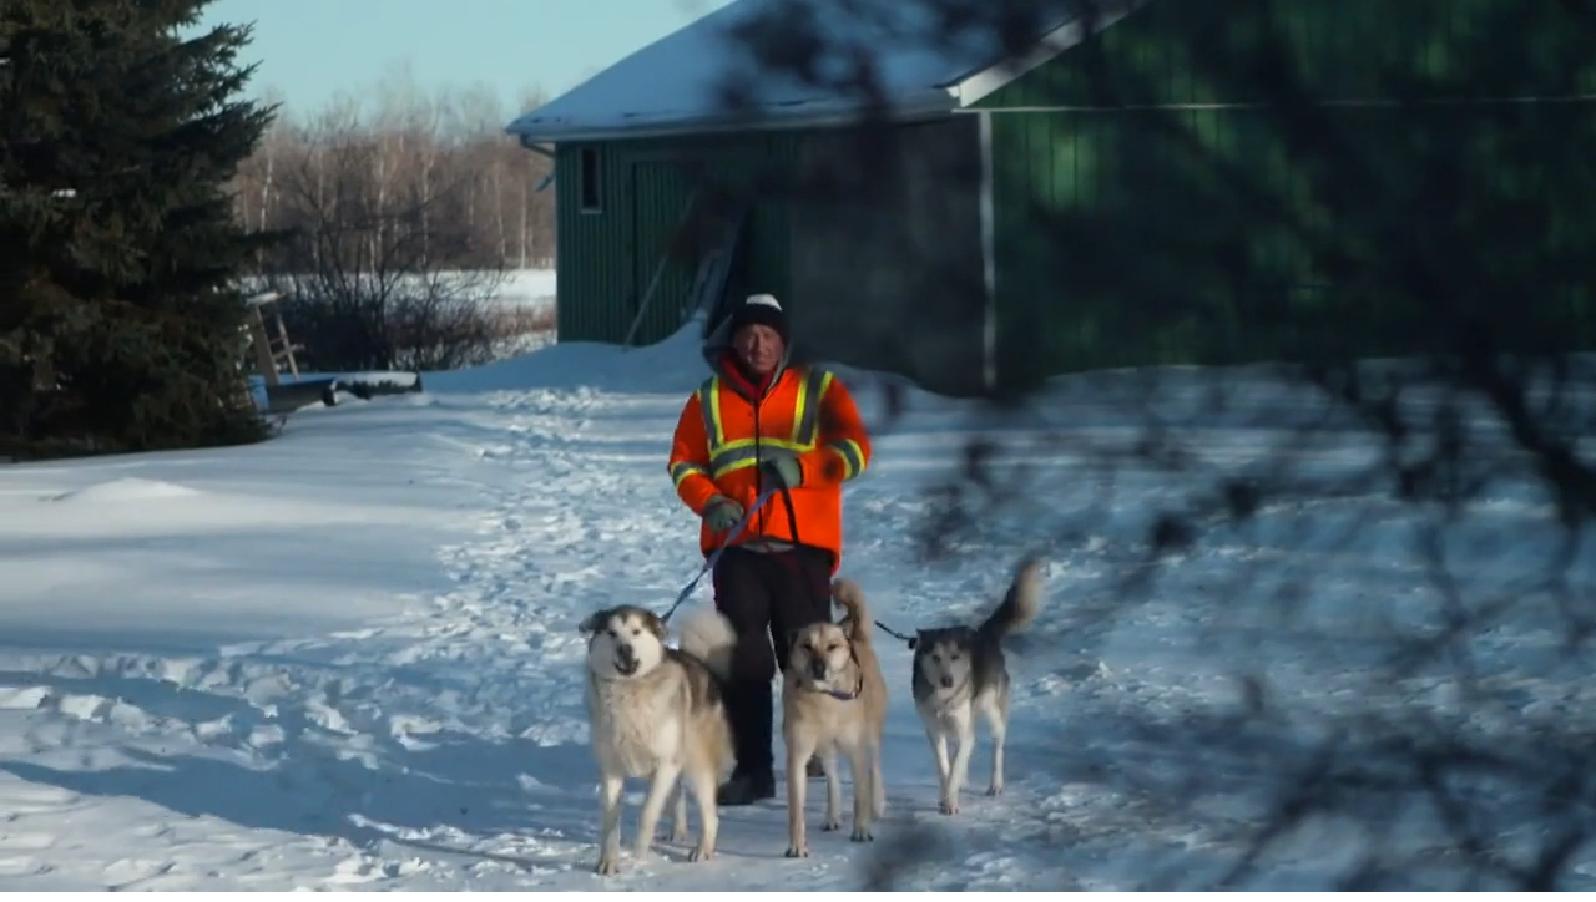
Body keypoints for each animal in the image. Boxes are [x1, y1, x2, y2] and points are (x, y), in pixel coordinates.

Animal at [584, 603, 737, 874]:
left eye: (636, 631)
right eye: (612, 633)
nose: (625, 649)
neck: (630, 689)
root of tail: (701, 665)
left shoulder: (666, 763)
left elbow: (648, 811)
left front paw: (639, 851)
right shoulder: (611, 767)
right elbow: (610, 820)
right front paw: (608, 862)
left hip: (696, 764)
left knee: (709, 813)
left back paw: (702, 849)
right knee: (678, 796)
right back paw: (678, 832)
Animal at [782, 577, 887, 855]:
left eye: (832, 647)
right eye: (806, 646)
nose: (819, 667)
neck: (825, 700)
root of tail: (855, 636)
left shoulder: (856, 750)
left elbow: (861, 795)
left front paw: (861, 830)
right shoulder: (798, 755)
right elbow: (796, 811)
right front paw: (797, 846)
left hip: (870, 735)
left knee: (875, 767)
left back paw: (878, 805)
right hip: (824, 748)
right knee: (832, 778)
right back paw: (832, 816)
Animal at [919, 555, 1040, 817]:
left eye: (955, 657)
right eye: (935, 657)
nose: (947, 680)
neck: (944, 697)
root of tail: (985, 635)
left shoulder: (963, 727)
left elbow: (955, 767)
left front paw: (950, 802)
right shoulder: (934, 730)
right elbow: (945, 767)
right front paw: (946, 793)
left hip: (992, 712)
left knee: (996, 747)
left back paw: (995, 784)